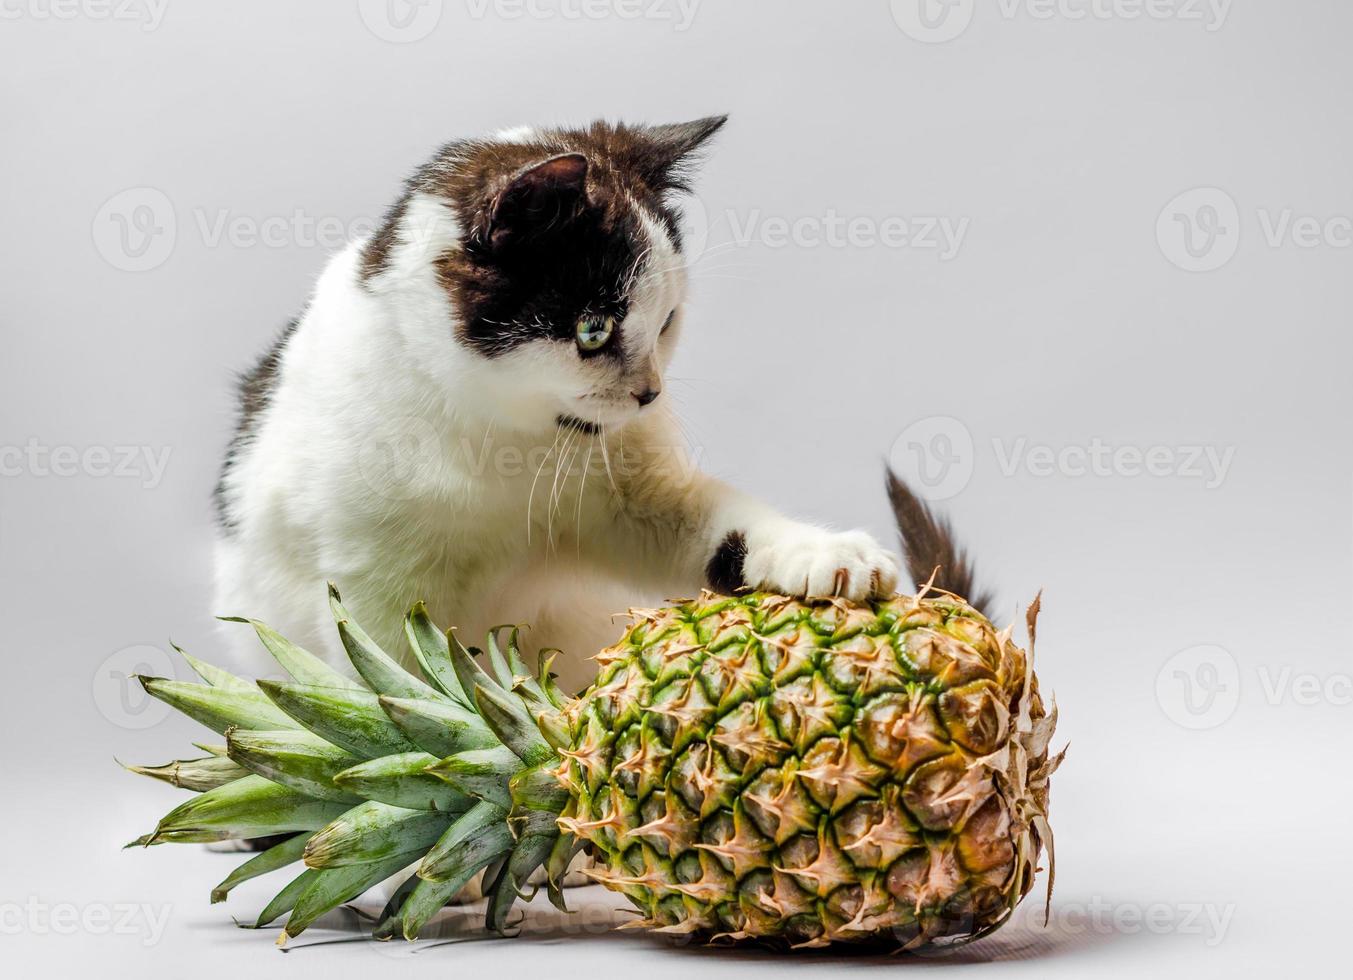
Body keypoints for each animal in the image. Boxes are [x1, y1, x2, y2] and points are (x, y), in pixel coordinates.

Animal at [213, 118, 898, 693]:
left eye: (666, 322)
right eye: (593, 330)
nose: (650, 394)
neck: (497, 435)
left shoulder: (631, 492)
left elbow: (711, 525)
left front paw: (827, 555)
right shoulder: (370, 585)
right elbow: (398, 675)